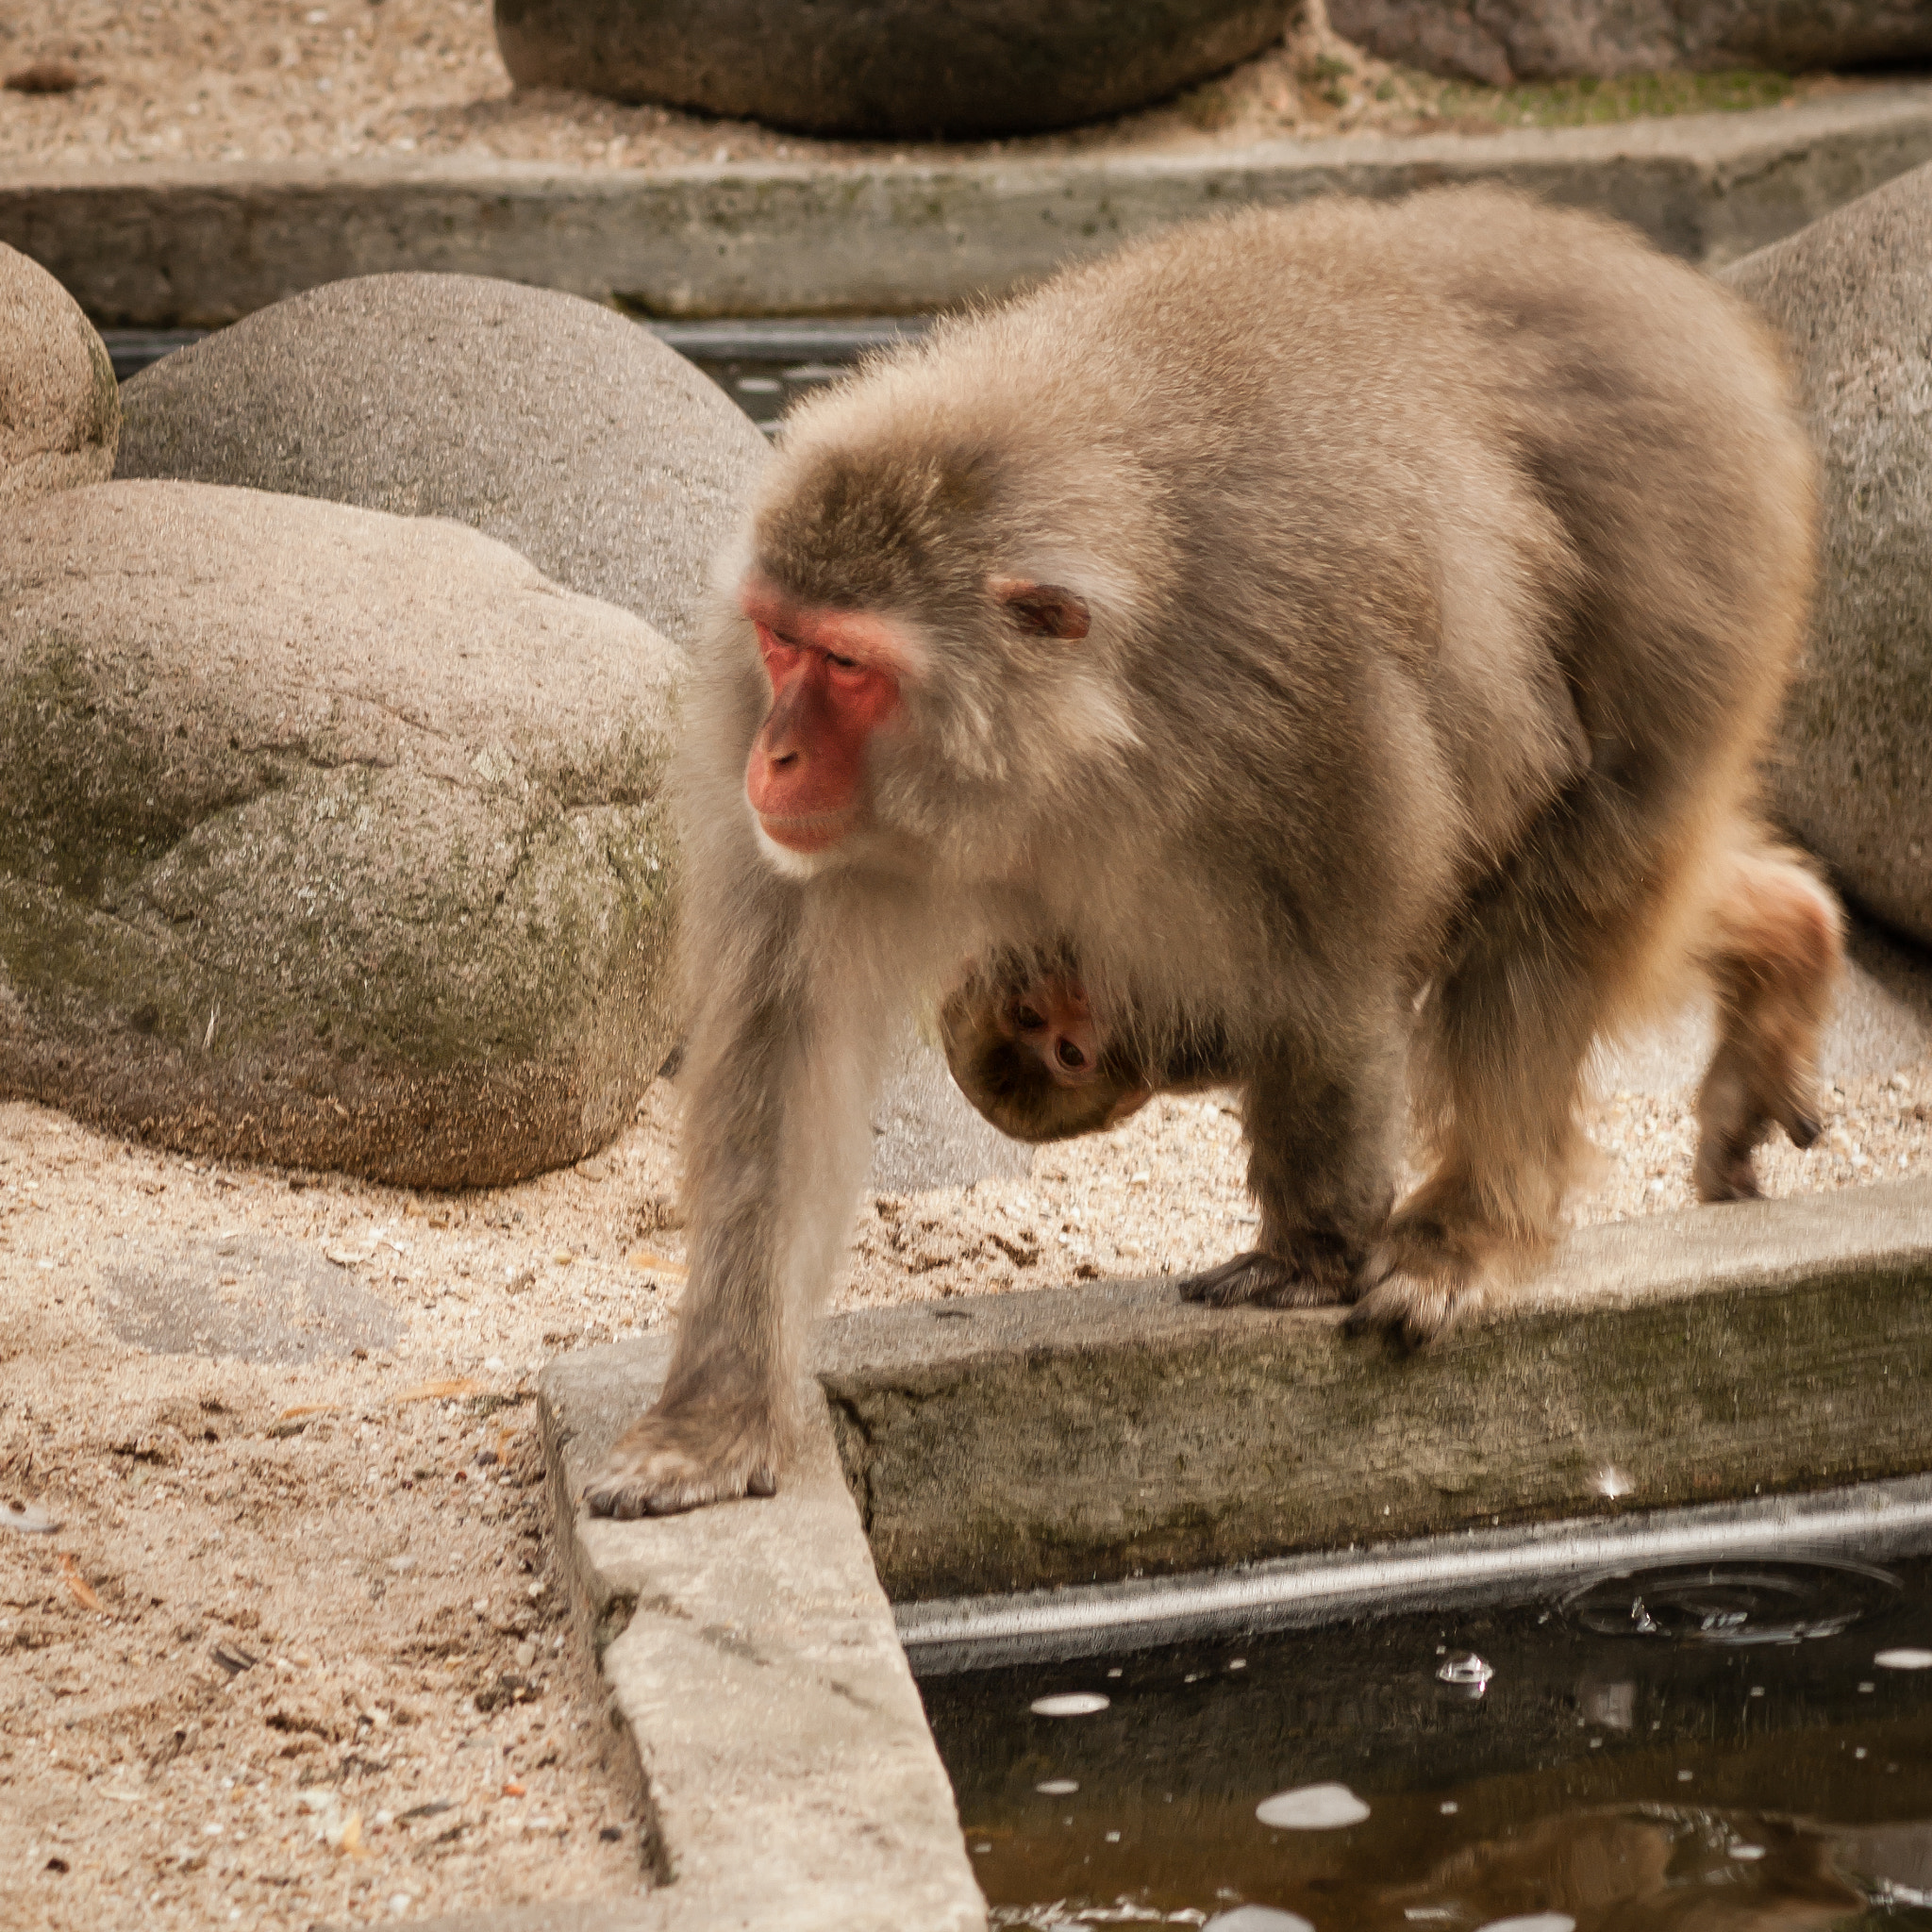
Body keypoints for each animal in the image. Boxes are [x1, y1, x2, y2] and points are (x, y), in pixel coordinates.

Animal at [579, 195, 1831, 1522]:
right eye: (780, 640)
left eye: (849, 664)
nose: (768, 757)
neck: (1063, 735)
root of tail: (1655, 287)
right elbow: (786, 1053)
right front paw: (714, 1417)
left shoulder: (1302, 690)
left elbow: (1327, 972)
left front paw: (1311, 1253)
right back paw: (1784, 938)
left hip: (1695, 547)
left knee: (1569, 881)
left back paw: (1470, 1226)